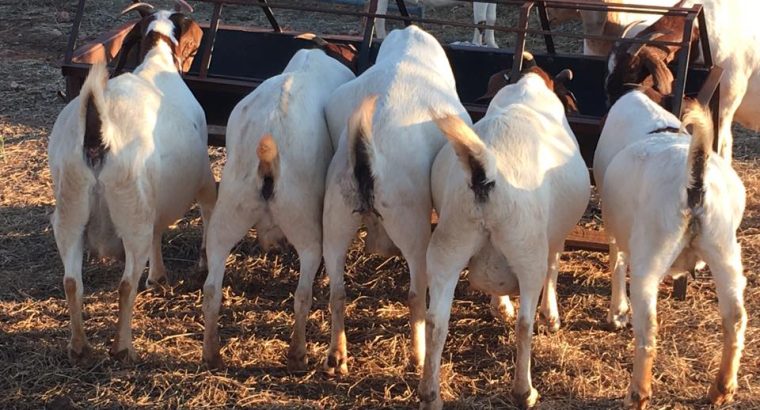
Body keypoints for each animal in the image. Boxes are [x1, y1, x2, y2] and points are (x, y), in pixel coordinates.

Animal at [48, 1, 214, 364]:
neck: (156, 62)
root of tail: (97, 135)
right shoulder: (202, 179)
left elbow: (158, 231)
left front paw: (158, 276)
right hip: (130, 211)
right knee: (126, 284)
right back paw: (123, 347)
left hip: (69, 211)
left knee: (71, 281)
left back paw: (79, 346)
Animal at [200, 48, 355, 370]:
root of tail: (267, 159)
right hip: (303, 220)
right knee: (303, 292)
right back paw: (297, 355)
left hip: (229, 211)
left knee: (211, 289)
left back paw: (211, 352)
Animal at [319, 25, 469, 375]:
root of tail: (367, 157)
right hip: (411, 227)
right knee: (415, 295)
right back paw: (417, 356)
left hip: (335, 217)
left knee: (338, 291)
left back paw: (337, 356)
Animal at [418, 54, 590, 409]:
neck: (528, 87)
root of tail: (484, 176)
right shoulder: (553, 238)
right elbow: (553, 269)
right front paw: (551, 317)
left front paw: (500, 307)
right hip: (527, 250)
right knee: (525, 324)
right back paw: (525, 391)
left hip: (447, 246)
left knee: (435, 321)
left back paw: (430, 395)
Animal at [595, 90, 746, 408]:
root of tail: (695, 180)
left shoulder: (615, 225)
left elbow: (616, 262)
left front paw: (617, 314)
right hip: (724, 249)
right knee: (736, 317)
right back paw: (721, 389)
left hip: (651, 253)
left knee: (648, 329)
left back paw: (637, 394)